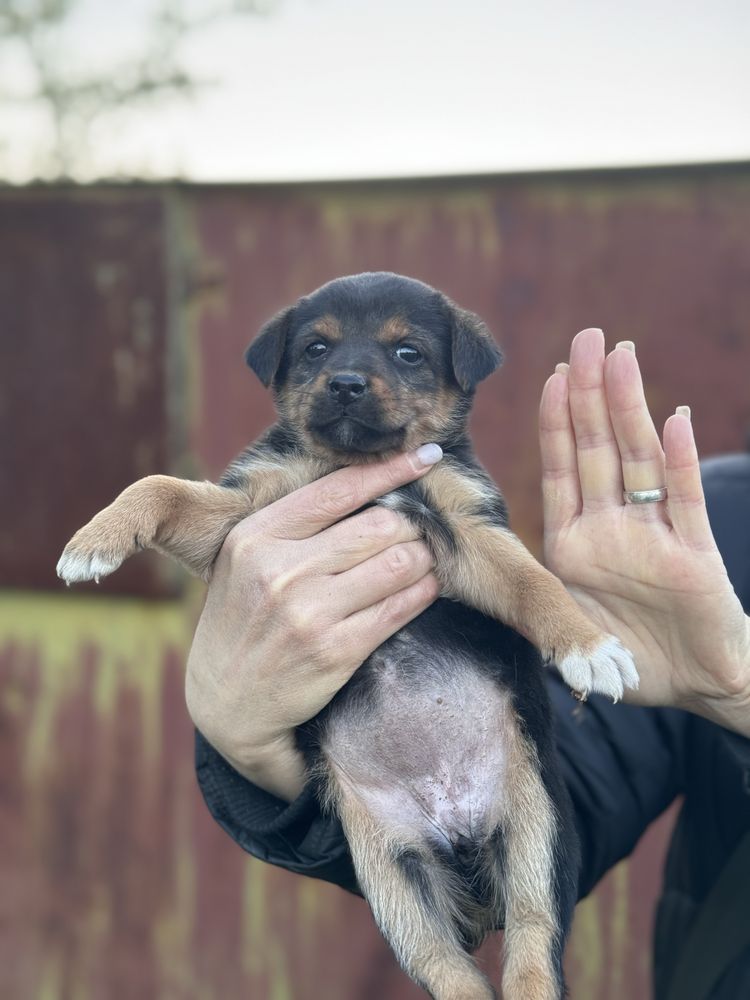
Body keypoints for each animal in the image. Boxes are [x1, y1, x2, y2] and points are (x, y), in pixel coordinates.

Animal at [57, 274, 640, 1000]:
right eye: (316, 348)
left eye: (408, 352)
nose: (345, 384)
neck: (351, 465)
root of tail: (457, 833)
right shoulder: (244, 511)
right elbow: (158, 484)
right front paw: (93, 541)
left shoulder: (467, 525)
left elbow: (534, 582)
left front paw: (591, 648)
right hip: (395, 882)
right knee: (452, 972)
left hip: (536, 834)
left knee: (533, 947)